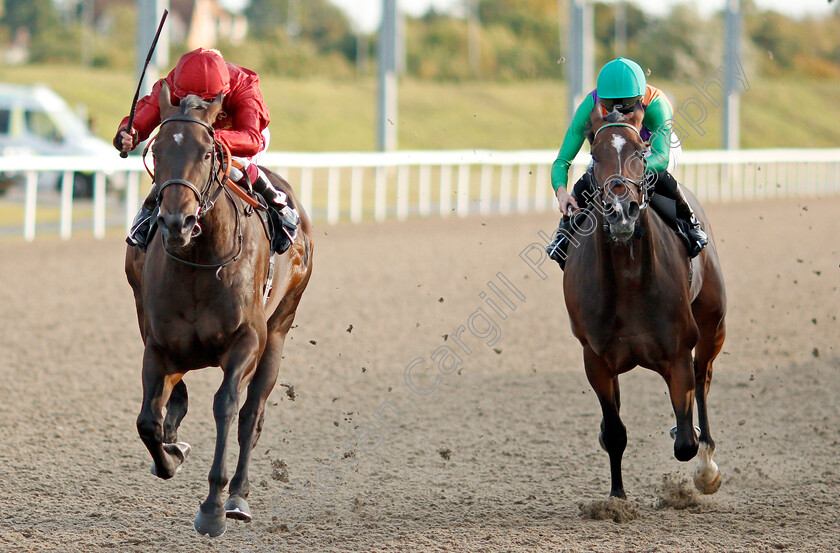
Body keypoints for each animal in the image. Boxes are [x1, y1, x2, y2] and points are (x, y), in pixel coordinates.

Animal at [126, 84, 316, 536]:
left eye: (207, 152)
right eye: (157, 148)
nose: (175, 221)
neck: (200, 260)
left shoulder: (247, 341)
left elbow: (227, 405)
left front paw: (212, 506)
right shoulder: (158, 344)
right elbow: (148, 421)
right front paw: (171, 452)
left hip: (279, 330)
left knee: (251, 415)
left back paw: (237, 498)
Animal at [564, 105, 728, 498]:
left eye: (640, 153)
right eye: (594, 156)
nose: (621, 210)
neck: (629, 279)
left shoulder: (678, 352)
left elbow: (684, 442)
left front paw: (694, 449)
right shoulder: (596, 359)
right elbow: (614, 432)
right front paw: (616, 498)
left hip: (714, 325)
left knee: (703, 378)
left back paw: (707, 462)